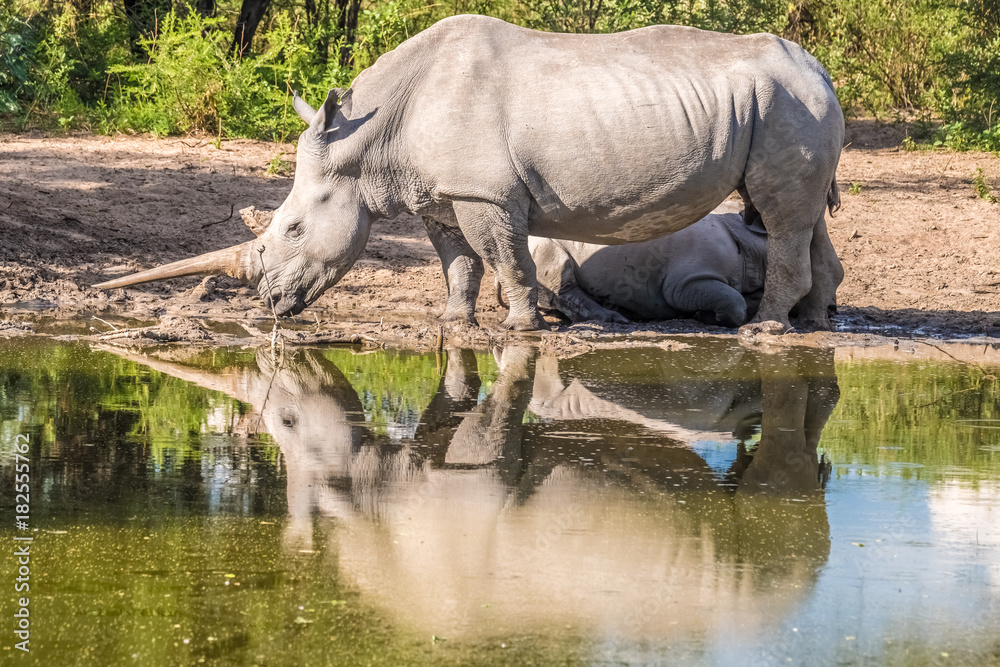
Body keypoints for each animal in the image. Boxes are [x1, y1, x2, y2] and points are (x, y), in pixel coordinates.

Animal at [94, 14, 844, 335]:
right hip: (784, 101)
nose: (269, 303)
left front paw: (520, 327)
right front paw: (455, 322)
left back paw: (765, 332)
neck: (372, 140)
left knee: (781, 214)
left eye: (295, 228)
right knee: (800, 216)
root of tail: (821, 70)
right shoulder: (440, 192)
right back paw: (814, 322)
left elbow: (506, 258)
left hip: (786, 102)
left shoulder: (486, 192)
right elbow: (457, 262)